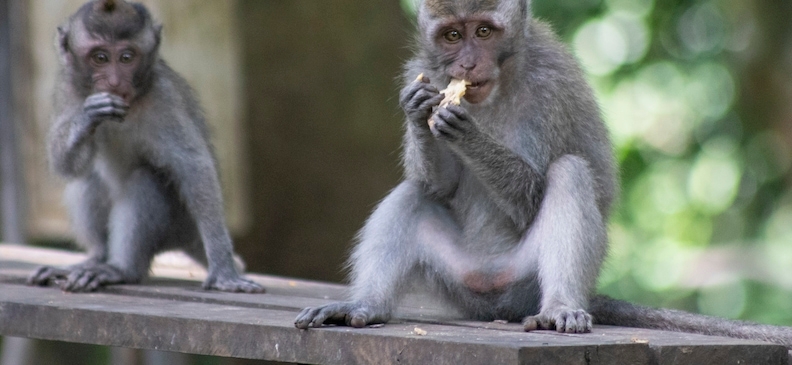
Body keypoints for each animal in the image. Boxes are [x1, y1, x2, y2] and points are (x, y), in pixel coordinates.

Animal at [27, 0, 262, 292]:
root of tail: (189, 237)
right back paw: (97, 259)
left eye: (127, 58)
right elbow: (63, 166)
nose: (115, 82)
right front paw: (88, 117)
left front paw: (223, 269)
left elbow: (194, 169)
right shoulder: (68, 88)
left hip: (177, 224)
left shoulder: (164, 98)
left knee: (145, 180)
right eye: (100, 58)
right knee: (87, 177)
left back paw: (120, 270)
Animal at [296, 0, 792, 350]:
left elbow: (531, 198)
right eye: (453, 35)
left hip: (523, 284)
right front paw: (421, 113)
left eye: (484, 31)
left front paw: (468, 134)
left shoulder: (550, 87)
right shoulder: (419, 70)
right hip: (458, 282)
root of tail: (492, 292)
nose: (466, 66)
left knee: (569, 173)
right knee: (414, 193)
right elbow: (438, 186)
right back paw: (363, 306)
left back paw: (561, 308)